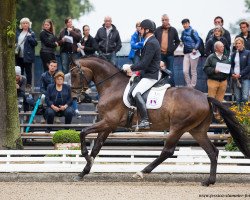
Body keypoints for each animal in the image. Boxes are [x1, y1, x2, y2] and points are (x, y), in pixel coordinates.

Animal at [70, 55, 250, 186]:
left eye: (74, 74)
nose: (74, 97)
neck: (111, 85)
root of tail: (205, 97)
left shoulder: (109, 122)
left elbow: (83, 133)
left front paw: (85, 156)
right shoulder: (108, 125)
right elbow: (96, 147)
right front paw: (84, 171)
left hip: (178, 127)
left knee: (167, 151)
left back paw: (141, 172)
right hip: (197, 130)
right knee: (212, 152)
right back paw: (209, 181)